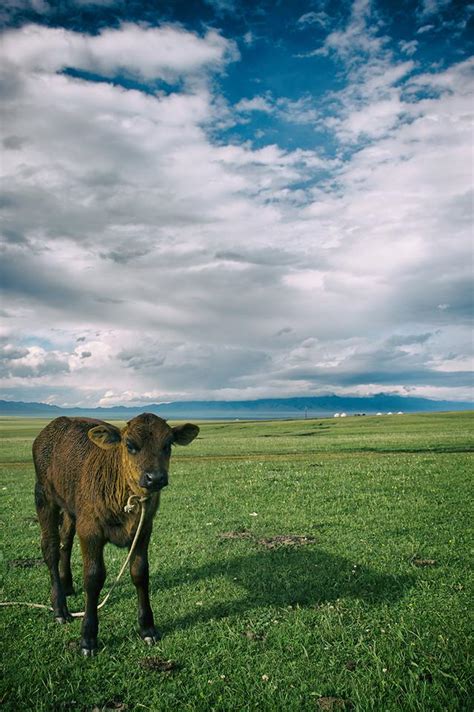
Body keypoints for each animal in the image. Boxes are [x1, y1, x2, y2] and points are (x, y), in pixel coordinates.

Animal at [31, 412, 198, 656]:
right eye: (130, 445)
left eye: (167, 444)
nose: (155, 477)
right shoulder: (90, 530)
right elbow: (93, 578)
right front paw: (88, 637)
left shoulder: (144, 530)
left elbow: (140, 573)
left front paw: (147, 628)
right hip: (44, 496)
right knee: (51, 548)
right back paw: (60, 607)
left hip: (70, 509)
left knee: (65, 542)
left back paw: (67, 584)